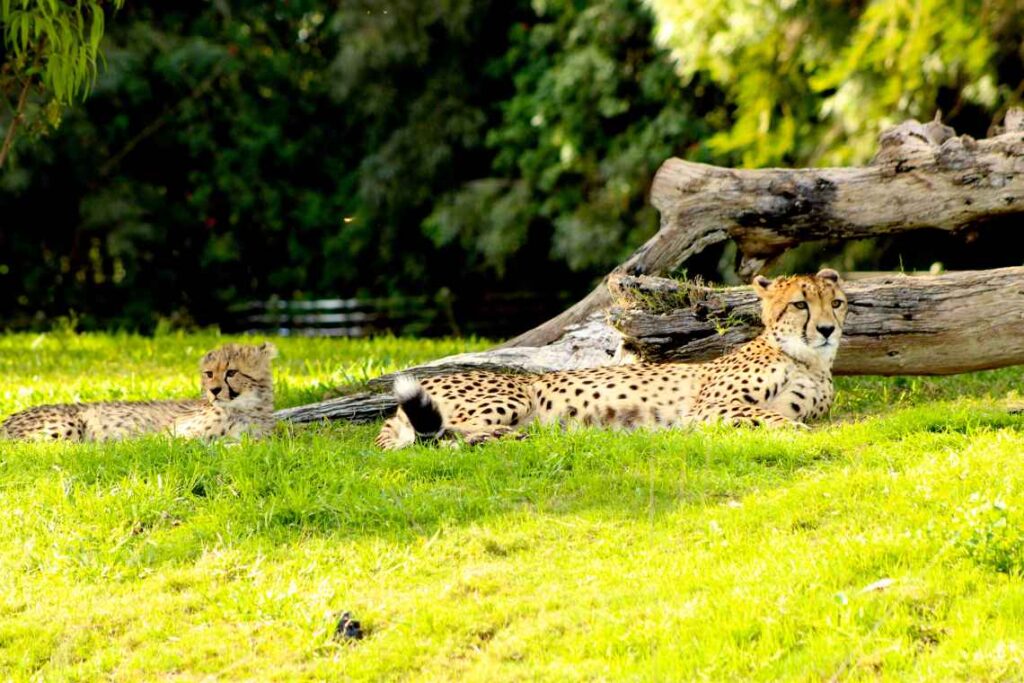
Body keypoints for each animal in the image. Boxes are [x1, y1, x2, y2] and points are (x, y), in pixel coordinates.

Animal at [376, 270, 847, 450]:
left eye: (838, 302)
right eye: (801, 304)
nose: (828, 329)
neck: (807, 360)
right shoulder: (709, 407)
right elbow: (773, 418)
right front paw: (800, 432)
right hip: (511, 396)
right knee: (444, 433)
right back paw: (513, 436)